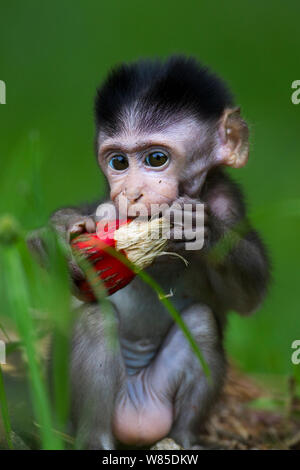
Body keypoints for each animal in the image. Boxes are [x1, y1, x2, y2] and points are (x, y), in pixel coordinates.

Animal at [49, 55, 270, 448]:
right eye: (119, 163)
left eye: (155, 159)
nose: (131, 192)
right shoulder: (108, 209)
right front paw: (63, 229)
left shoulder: (226, 200)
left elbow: (248, 297)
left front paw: (199, 227)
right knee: (94, 320)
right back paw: (96, 438)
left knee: (201, 323)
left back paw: (183, 437)